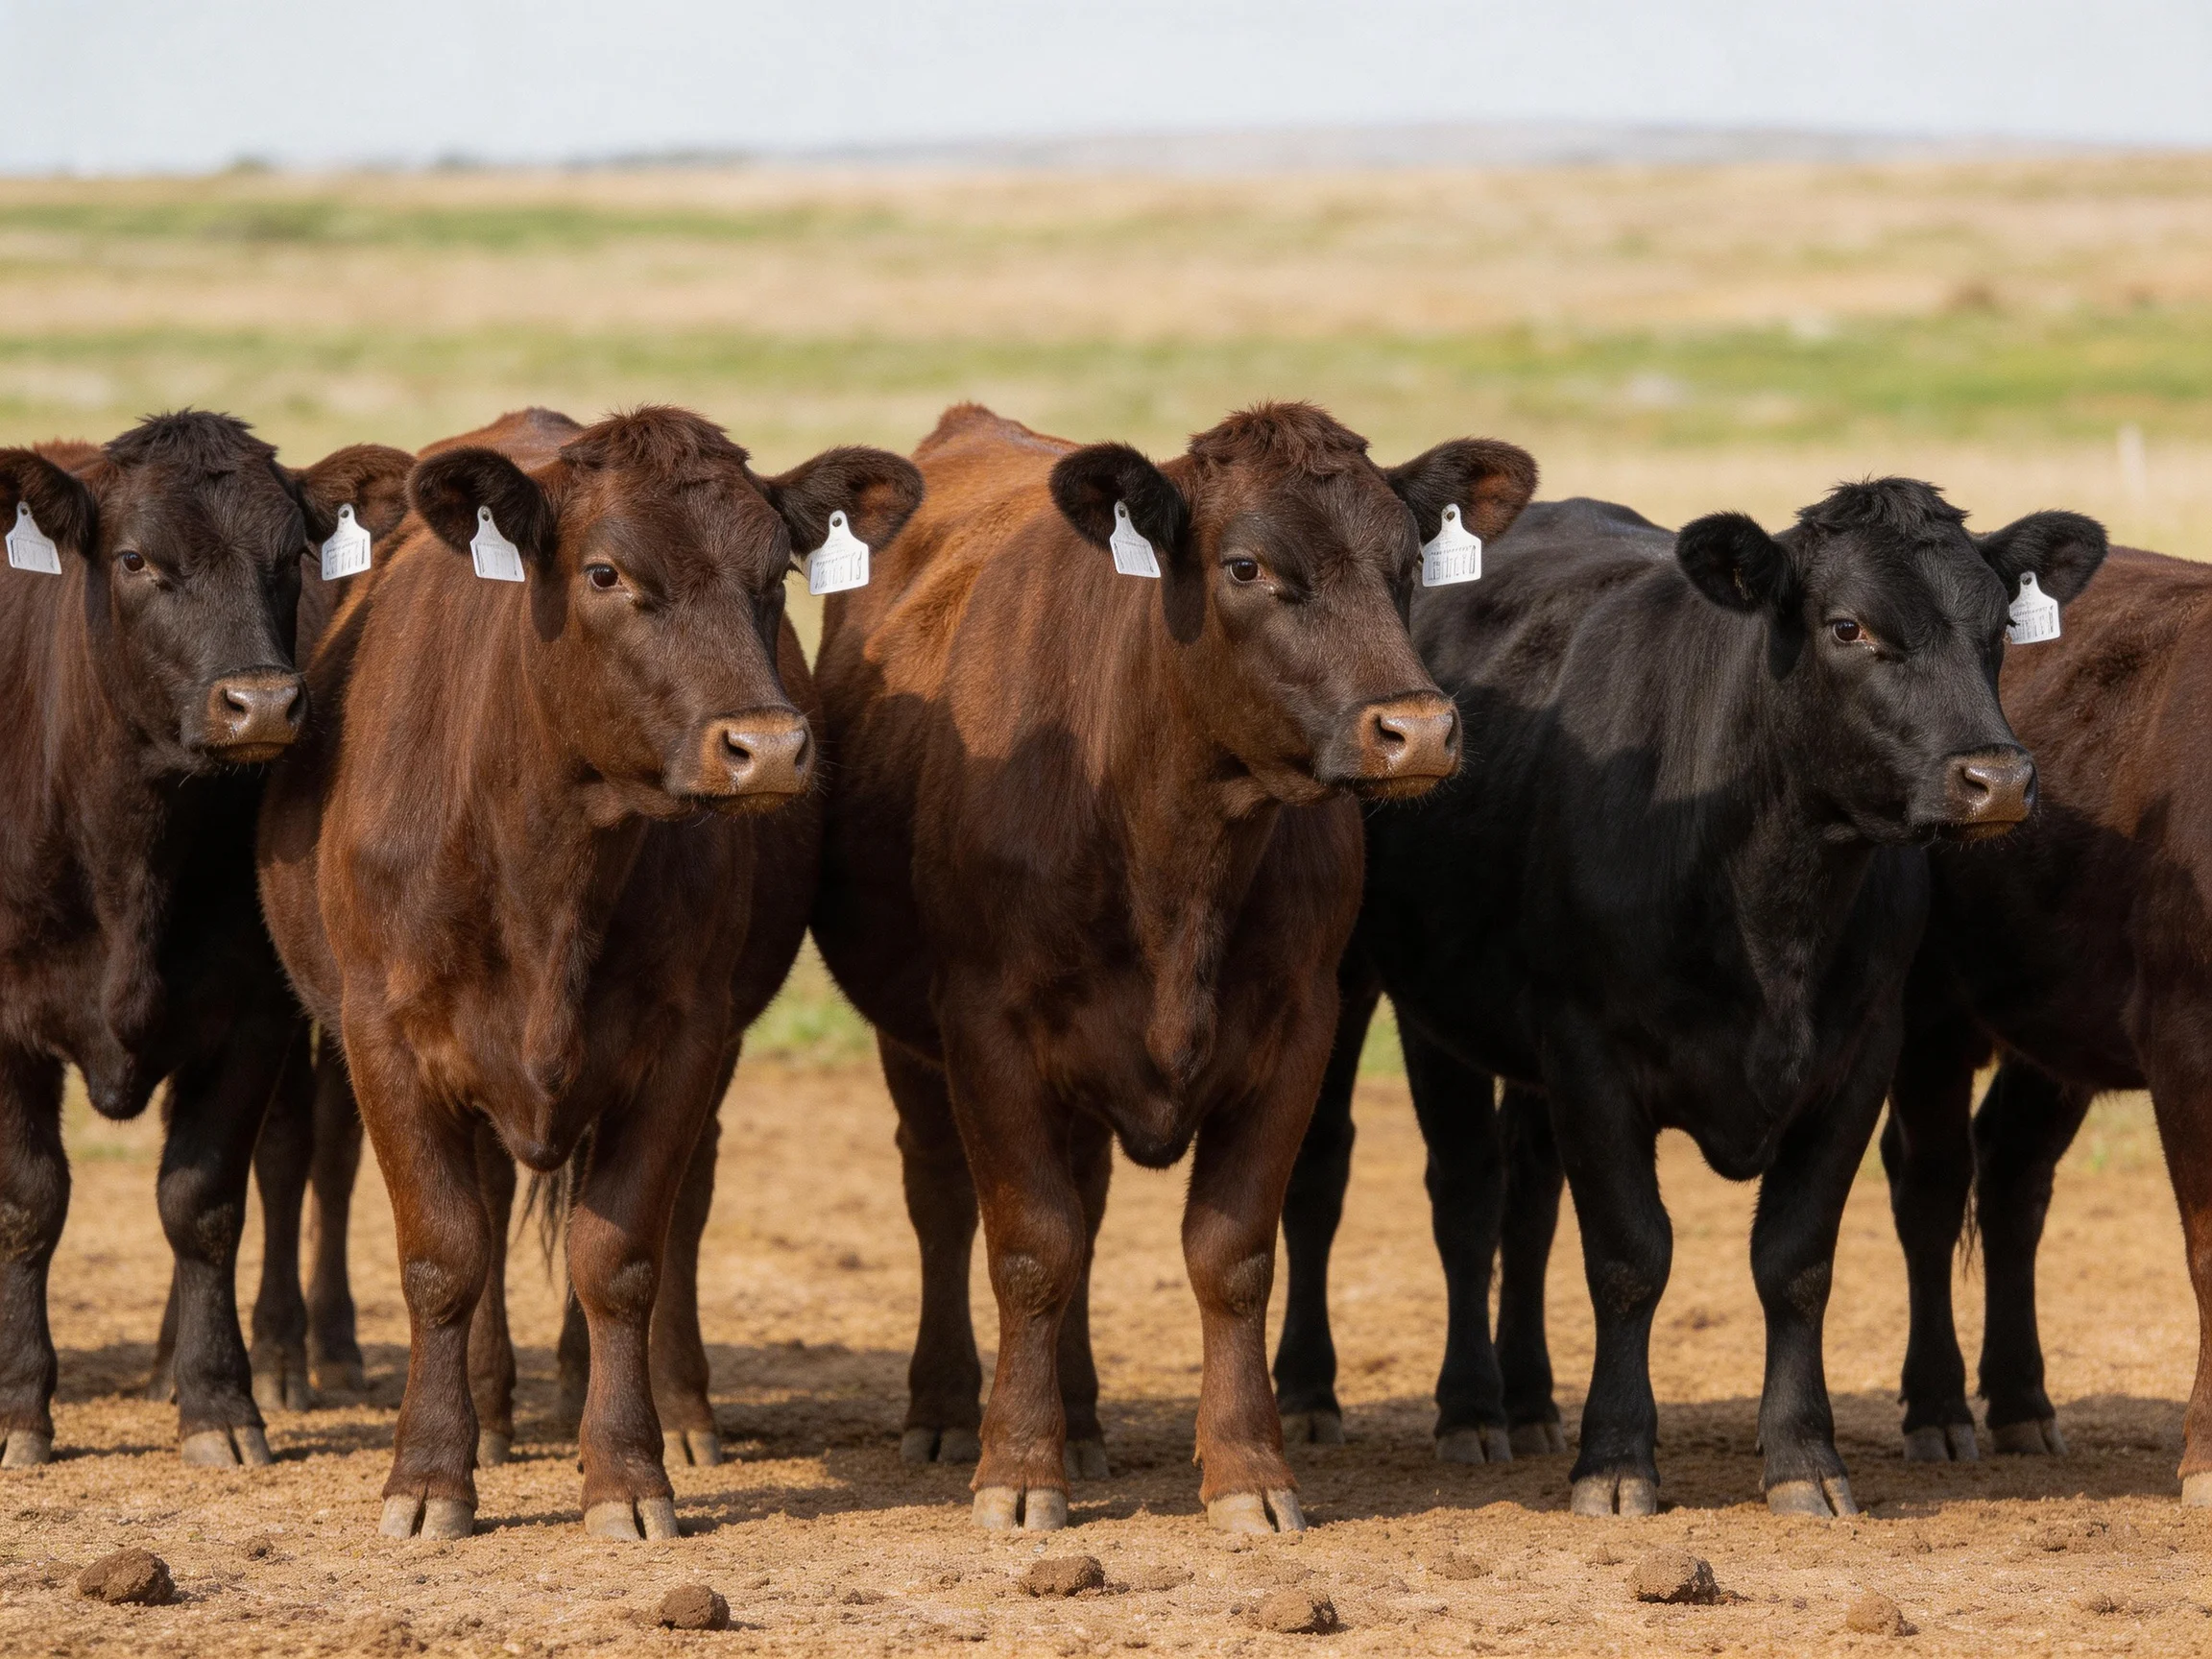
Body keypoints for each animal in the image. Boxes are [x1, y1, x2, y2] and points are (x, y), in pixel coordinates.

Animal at [0, 412, 412, 1470]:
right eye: (137, 559)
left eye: (288, 557)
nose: (261, 703)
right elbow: (30, 1201)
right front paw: (20, 1408)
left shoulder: (252, 1014)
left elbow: (205, 1198)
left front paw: (222, 1400)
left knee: (309, 1154)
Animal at [256, 406, 920, 1540]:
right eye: (606, 573)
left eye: (773, 571)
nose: (768, 748)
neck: (548, 854)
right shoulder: (384, 1038)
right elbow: (444, 1254)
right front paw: (429, 1474)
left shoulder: (686, 1039)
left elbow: (621, 1257)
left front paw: (626, 1470)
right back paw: (488, 1415)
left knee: (676, 1208)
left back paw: (668, 1411)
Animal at [810, 401, 1536, 1534]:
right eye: (1245, 566)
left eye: (1410, 562)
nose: (1416, 731)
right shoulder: (985, 1028)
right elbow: (1030, 1245)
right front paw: (1019, 1467)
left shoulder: (1297, 1030)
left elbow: (1230, 1254)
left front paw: (1249, 1469)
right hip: (913, 1037)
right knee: (942, 1200)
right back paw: (948, 1412)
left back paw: (1083, 1420)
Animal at [1270, 486, 2108, 1517]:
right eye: (1848, 626)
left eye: (2000, 628)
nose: (1998, 781)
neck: (1769, 900)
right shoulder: (1589, 1051)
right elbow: (1630, 1255)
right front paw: (1618, 1461)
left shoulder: (1860, 1057)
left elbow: (1795, 1260)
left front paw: (1804, 1458)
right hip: (1376, 989)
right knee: (1429, 1186)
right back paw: (1409, 1401)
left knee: (1525, 1196)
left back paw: (1528, 1401)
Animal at [1879, 543, 2212, 1501]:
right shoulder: (2185, 1040)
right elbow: (2208, 1250)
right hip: (1927, 1016)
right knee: (1931, 1184)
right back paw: (1939, 1410)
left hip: (2056, 1025)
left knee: (2013, 1176)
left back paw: (2022, 1402)